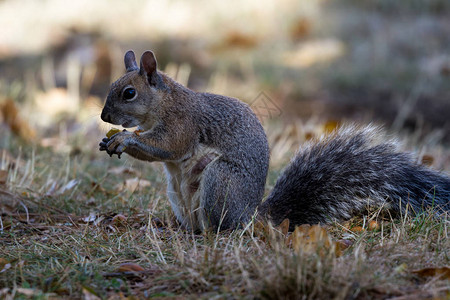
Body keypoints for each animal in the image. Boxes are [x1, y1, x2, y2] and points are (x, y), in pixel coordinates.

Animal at [99, 50, 450, 232]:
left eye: (128, 93)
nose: (103, 116)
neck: (164, 102)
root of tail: (252, 216)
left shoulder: (184, 123)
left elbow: (169, 147)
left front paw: (125, 141)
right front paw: (110, 141)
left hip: (220, 181)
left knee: (222, 228)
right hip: (176, 193)